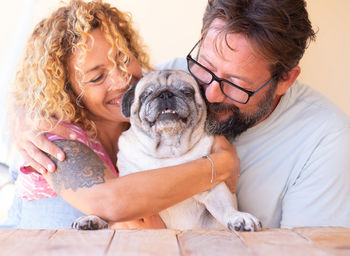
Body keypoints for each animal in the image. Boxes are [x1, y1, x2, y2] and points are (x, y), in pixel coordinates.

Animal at [72, 70, 262, 232]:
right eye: (146, 95)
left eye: (187, 92)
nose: (165, 94)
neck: (166, 149)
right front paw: (93, 218)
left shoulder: (215, 188)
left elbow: (225, 207)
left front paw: (239, 217)